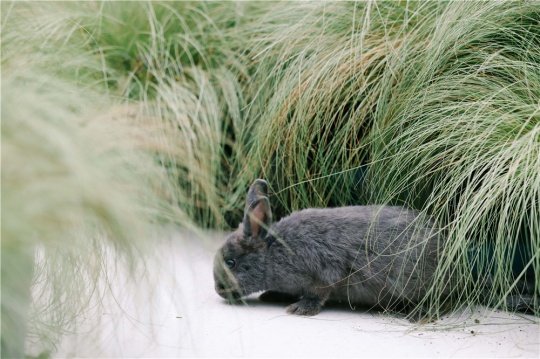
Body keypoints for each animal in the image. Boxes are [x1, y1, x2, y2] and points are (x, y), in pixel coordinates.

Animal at [213, 180, 450, 318]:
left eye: (231, 262)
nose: (219, 290)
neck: (276, 250)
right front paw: (271, 295)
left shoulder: (323, 274)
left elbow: (318, 294)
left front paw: (299, 309)